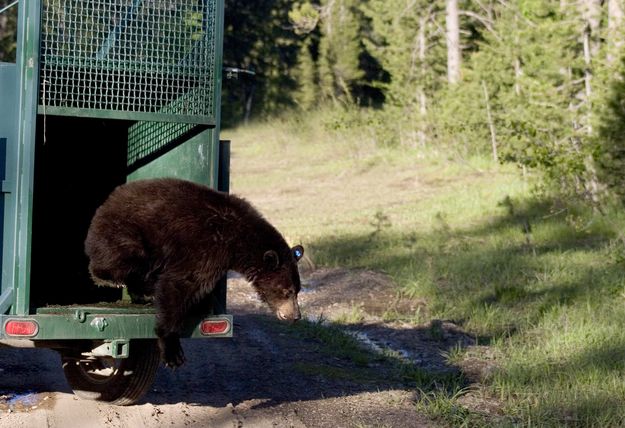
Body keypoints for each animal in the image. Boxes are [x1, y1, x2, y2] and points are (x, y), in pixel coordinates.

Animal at [84, 177, 304, 368]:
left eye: (297, 290)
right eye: (287, 291)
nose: (296, 315)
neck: (238, 241)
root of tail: (108, 202)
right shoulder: (206, 246)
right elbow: (183, 283)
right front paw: (172, 351)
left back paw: (144, 292)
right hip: (129, 231)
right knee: (123, 257)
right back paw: (108, 278)